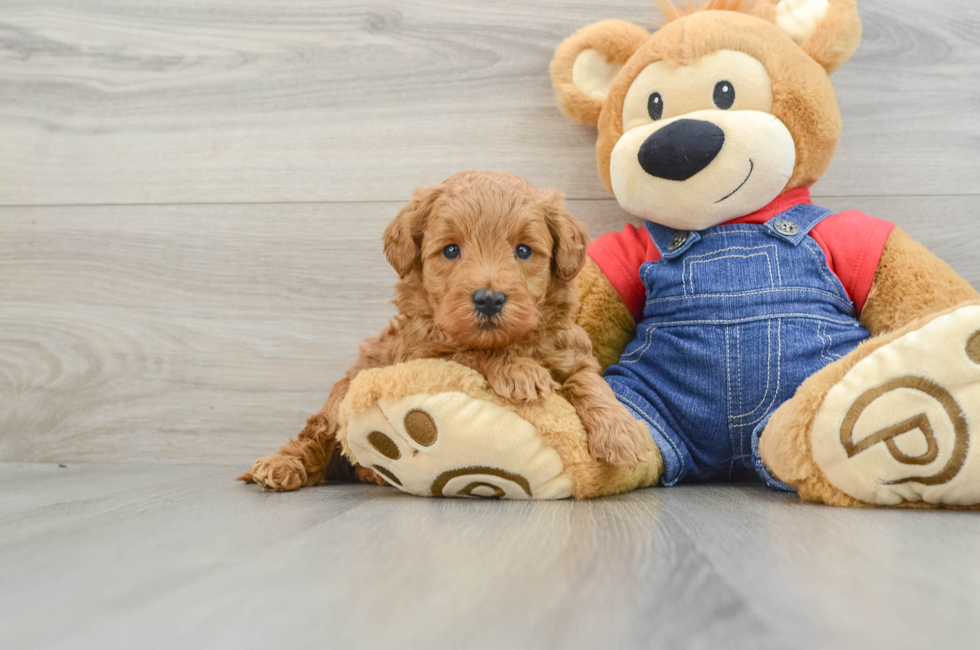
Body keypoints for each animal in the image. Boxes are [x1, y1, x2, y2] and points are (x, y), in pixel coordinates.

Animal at [238, 170, 652, 488]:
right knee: (314, 435)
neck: (515, 339)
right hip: (339, 398)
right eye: (451, 250)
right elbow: (469, 352)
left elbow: (591, 384)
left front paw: (622, 433)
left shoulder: (571, 353)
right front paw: (519, 371)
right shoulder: (421, 353)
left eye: (523, 250)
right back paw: (281, 466)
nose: (489, 299)